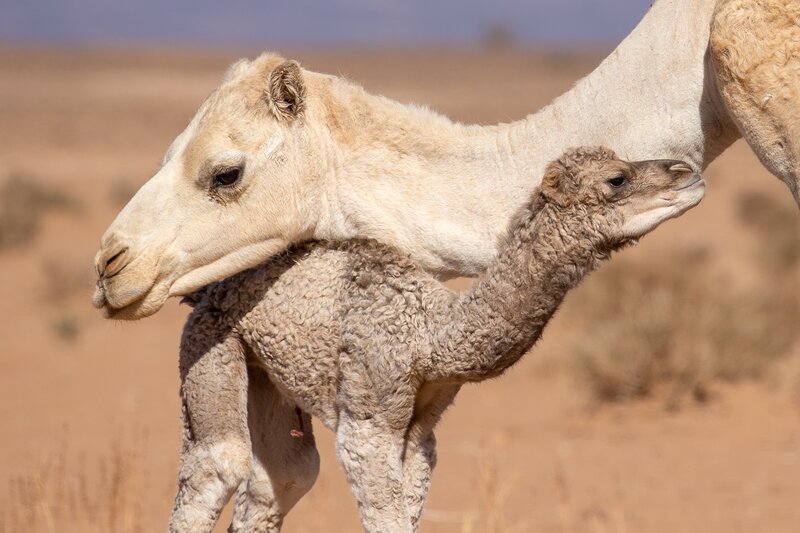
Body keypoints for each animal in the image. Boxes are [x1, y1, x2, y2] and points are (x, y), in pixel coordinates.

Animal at [170, 148, 705, 532]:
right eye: (617, 179)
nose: (688, 173)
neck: (431, 334)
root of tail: (205, 288)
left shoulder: (422, 429)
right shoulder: (368, 419)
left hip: (264, 372)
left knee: (284, 474)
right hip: (209, 341)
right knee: (217, 464)